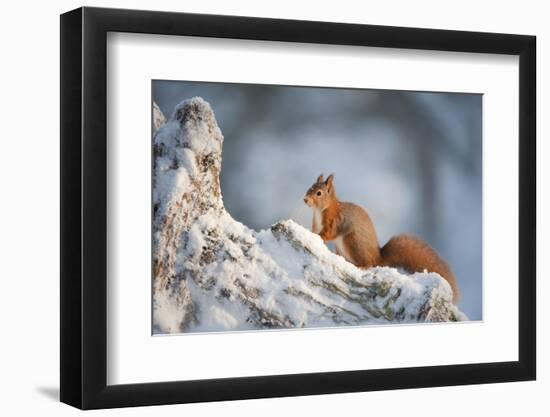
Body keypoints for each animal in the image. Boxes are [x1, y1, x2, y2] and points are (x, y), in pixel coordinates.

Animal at [306, 172, 462, 302]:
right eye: (310, 188)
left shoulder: (335, 221)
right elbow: (314, 231)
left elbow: (328, 233)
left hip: (353, 242)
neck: (320, 210)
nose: (305, 199)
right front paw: (312, 235)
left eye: (319, 193)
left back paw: (361, 266)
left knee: (368, 263)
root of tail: (378, 258)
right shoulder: (316, 224)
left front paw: (320, 238)